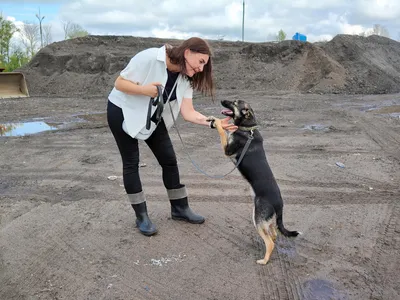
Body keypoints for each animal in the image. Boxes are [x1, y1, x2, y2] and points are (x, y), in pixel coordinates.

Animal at [212, 100, 300, 264]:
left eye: (234, 103)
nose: (222, 101)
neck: (248, 129)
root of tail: (279, 204)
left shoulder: (227, 150)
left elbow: (222, 131)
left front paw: (218, 122)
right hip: (267, 220)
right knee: (274, 234)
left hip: (257, 218)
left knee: (270, 242)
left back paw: (264, 260)